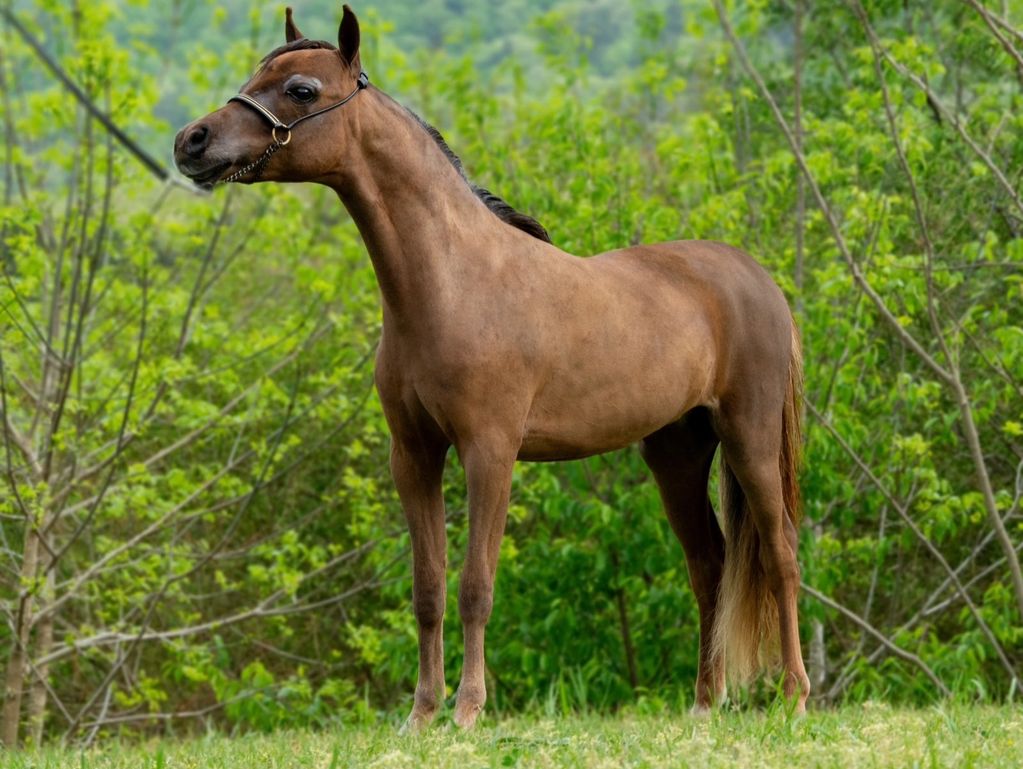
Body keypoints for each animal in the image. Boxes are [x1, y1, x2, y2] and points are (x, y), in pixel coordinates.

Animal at [173, 5, 809, 730]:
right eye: (256, 75)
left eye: (300, 90)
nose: (192, 141)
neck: (453, 283)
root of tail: (757, 279)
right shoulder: (414, 455)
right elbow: (428, 588)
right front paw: (421, 714)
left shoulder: (489, 451)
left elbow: (476, 584)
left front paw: (468, 710)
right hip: (675, 453)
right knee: (709, 566)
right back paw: (704, 705)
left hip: (750, 439)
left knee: (781, 554)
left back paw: (794, 696)